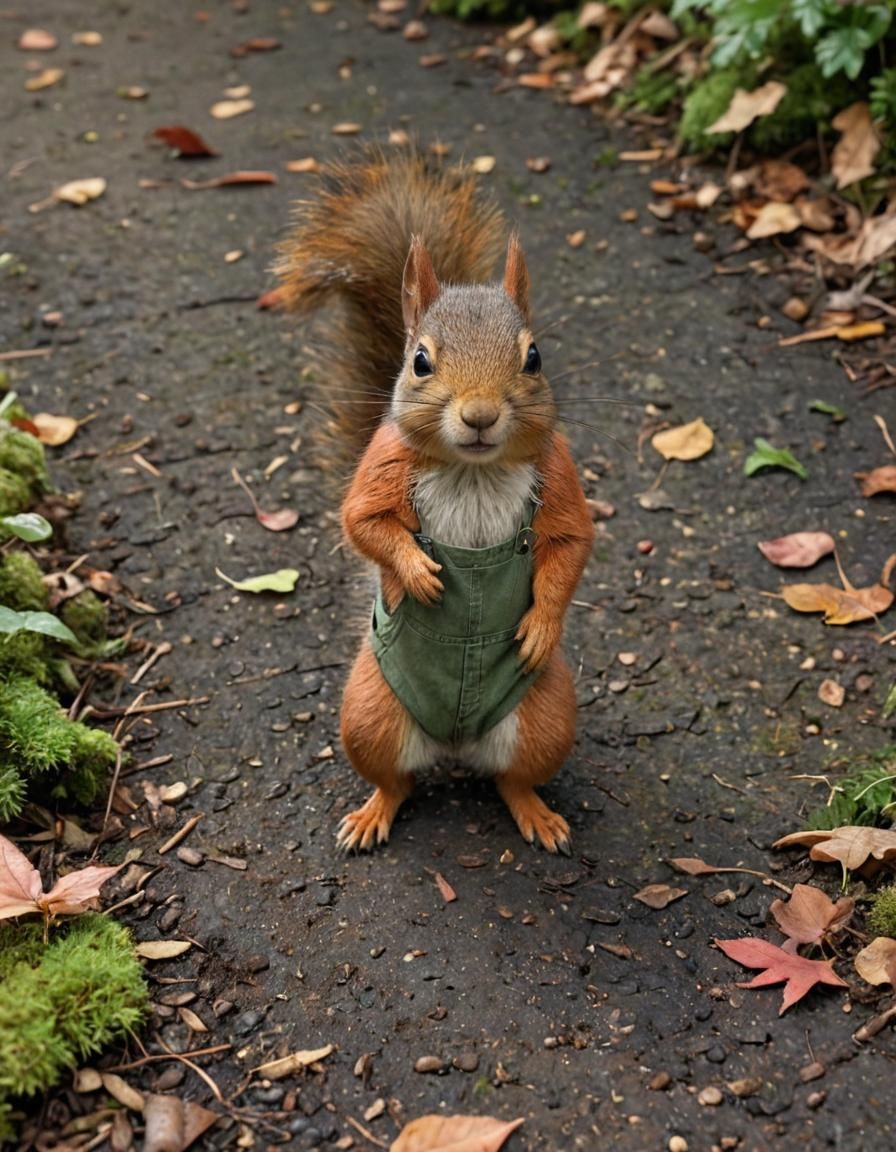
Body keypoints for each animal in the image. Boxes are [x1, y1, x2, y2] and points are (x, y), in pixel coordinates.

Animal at [276, 148, 594, 854]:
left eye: (535, 357)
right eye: (420, 362)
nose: (479, 416)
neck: (472, 471)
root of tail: (456, 744)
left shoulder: (558, 471)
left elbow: (571, 543)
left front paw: (541, 624)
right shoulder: (382, 464)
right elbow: (361, 521)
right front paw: (416, 571)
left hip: (547, 716)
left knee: (513, 779)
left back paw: (536, 813)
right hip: (368, 711)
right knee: (395, 781)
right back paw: (371, 813)